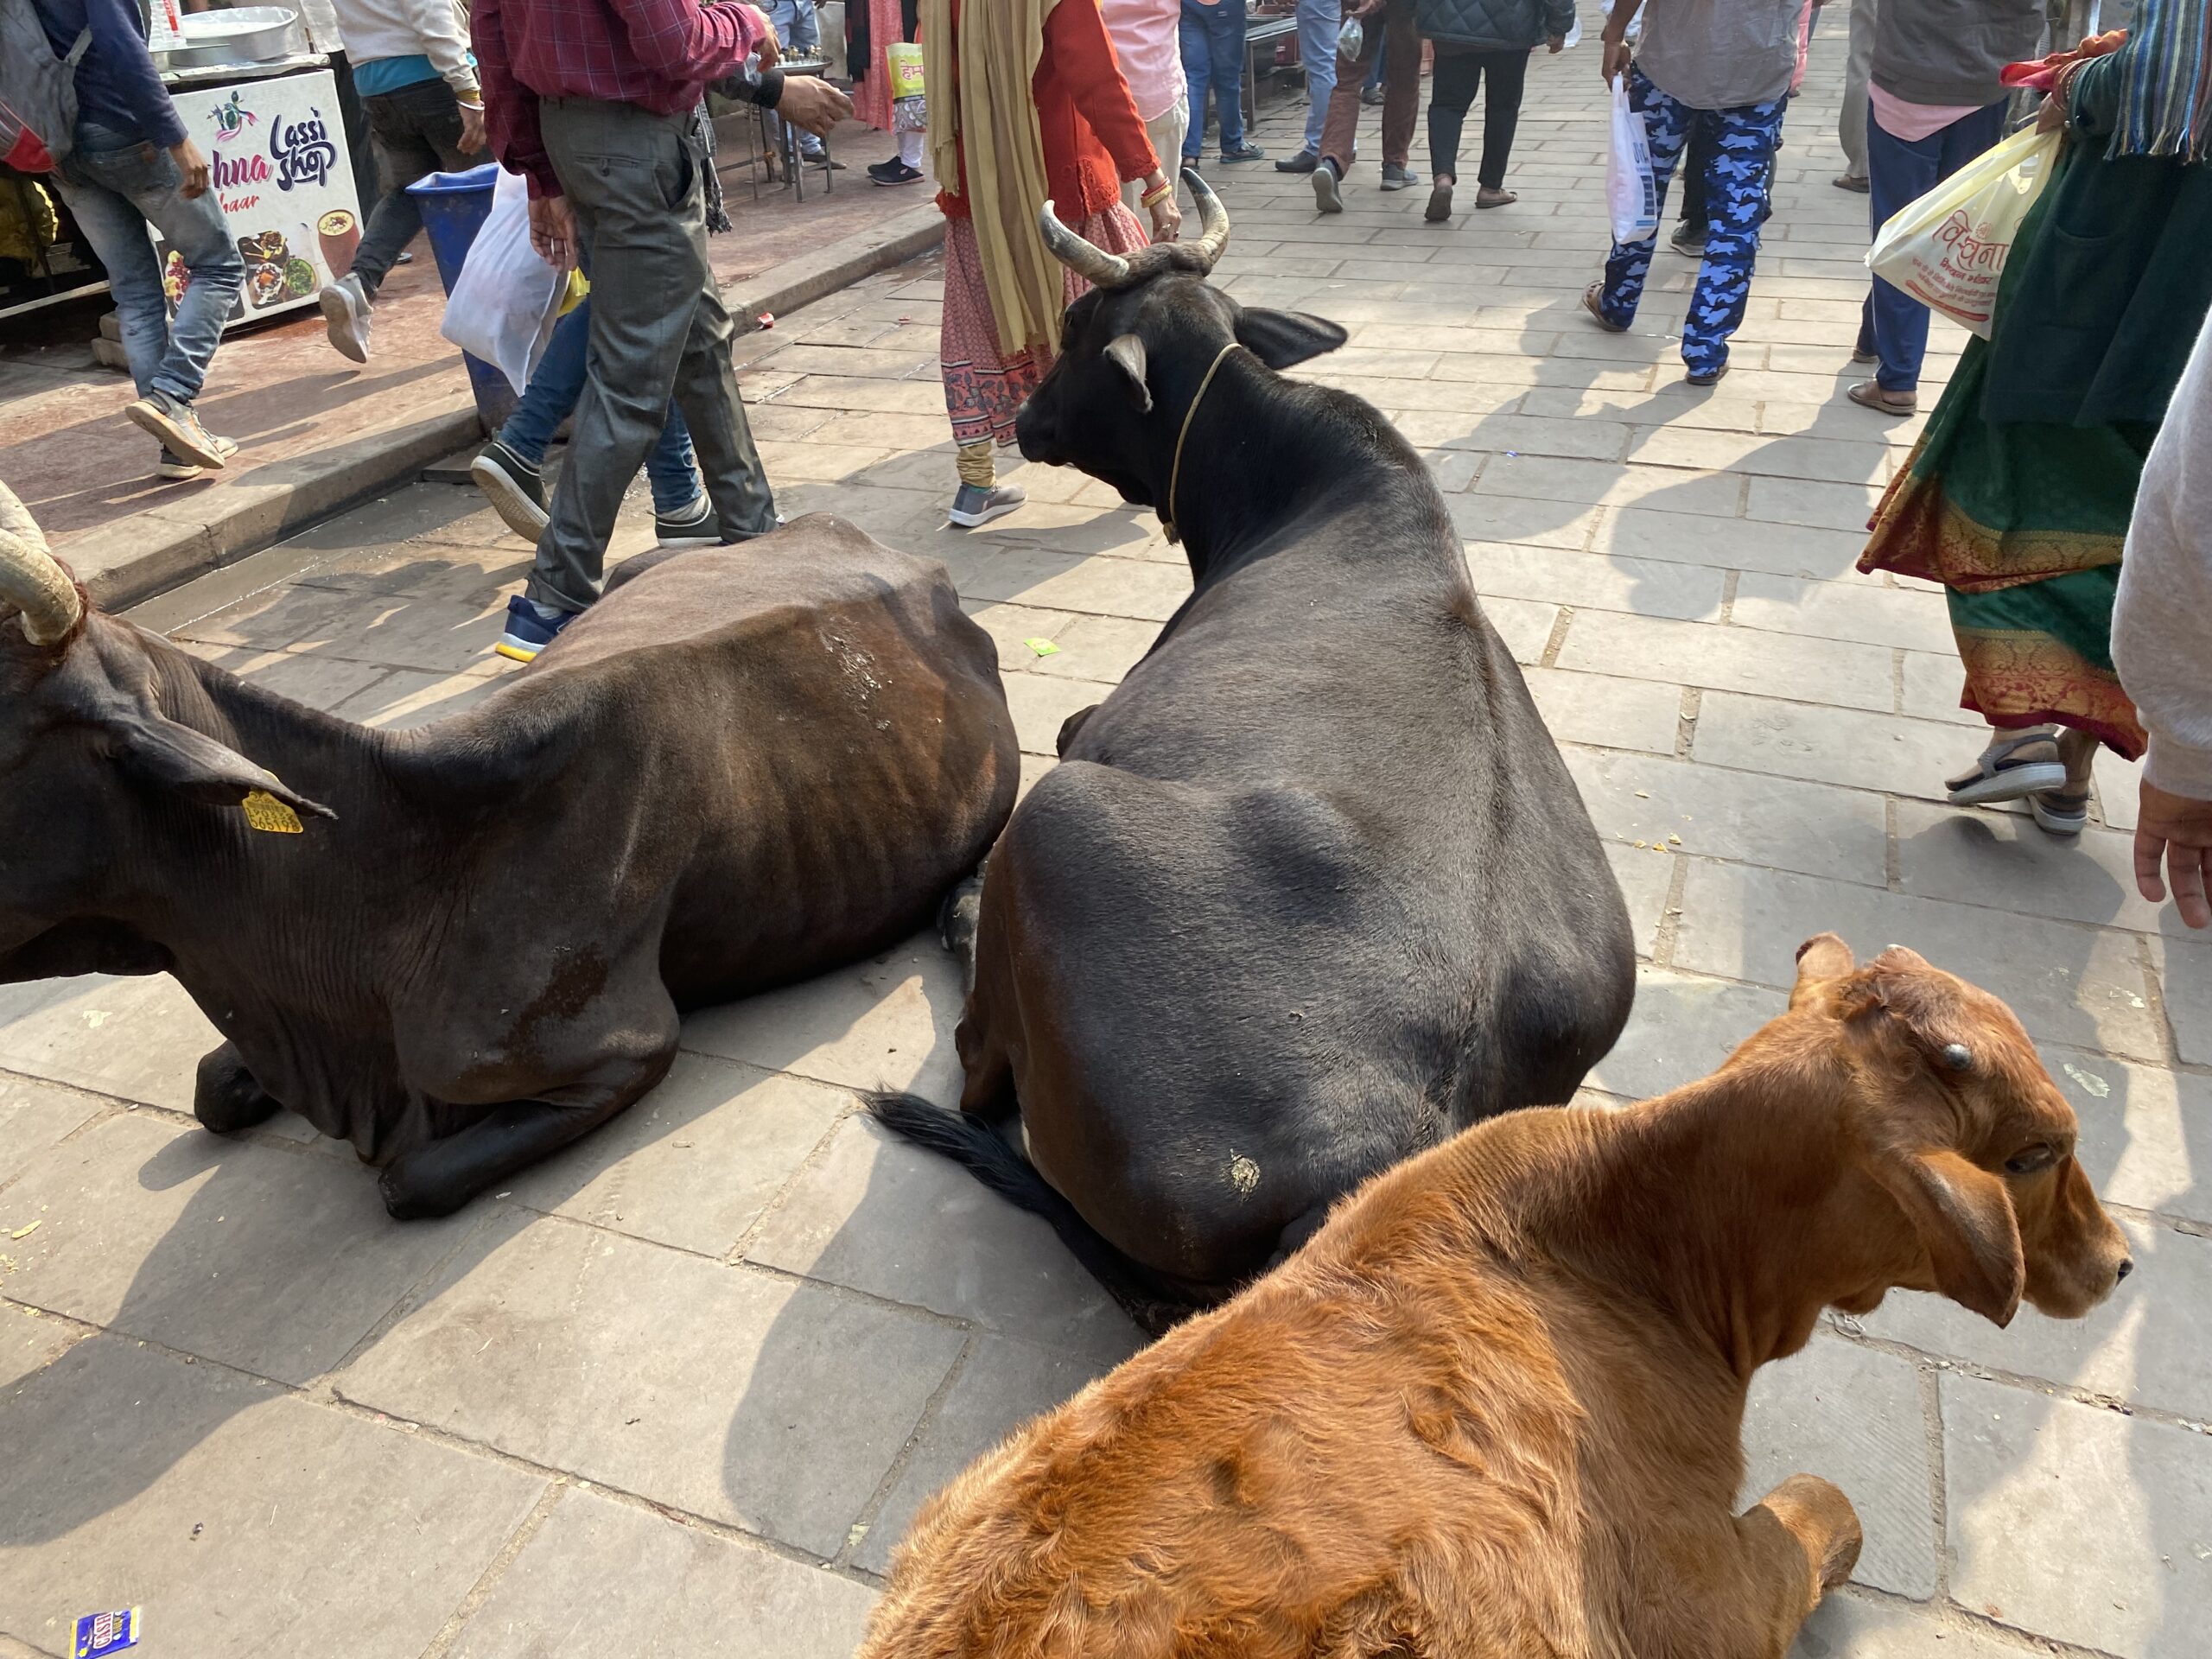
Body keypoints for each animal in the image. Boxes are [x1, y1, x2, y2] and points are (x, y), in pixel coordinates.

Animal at [871, 172, 1637, 1336]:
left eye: (1075, 330)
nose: (1027, 419)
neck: (1290, 481)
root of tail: (1386, 1150)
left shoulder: (1087, 728)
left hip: (1058, 826)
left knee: (976, 1072)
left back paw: (956, 914)